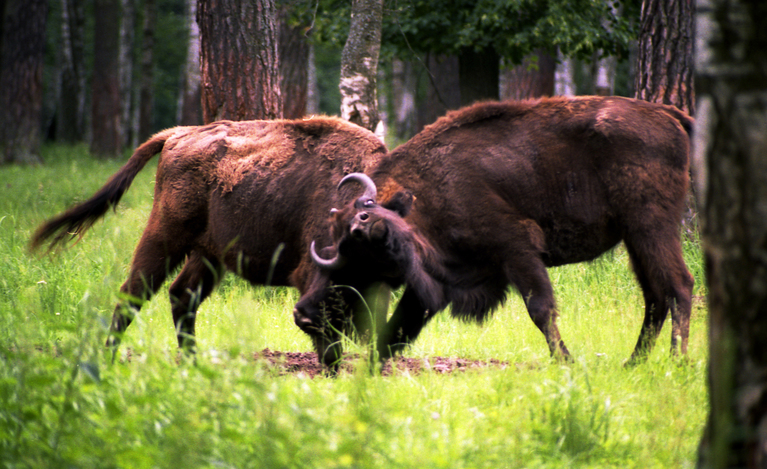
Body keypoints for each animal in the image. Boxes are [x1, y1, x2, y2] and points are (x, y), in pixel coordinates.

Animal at [30, 115, 388, 364]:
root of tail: (176, 134)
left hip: (208, 254)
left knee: (181, 294)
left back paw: (192, 361)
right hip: (165, 237)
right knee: (133, 293)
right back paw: (109, 356)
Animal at [296, 95, 700, 366]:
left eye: (354, 258)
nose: (304, 314)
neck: (427, 191)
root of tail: (668, 114)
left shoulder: (518, 250)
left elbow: (540, 308)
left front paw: (565, 361)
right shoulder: (439, 279)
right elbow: (399, 326)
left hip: (652, 225)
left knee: (679, 285)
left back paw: (676, 363)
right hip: (635, 238)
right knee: (655, 295)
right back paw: (634, 363)